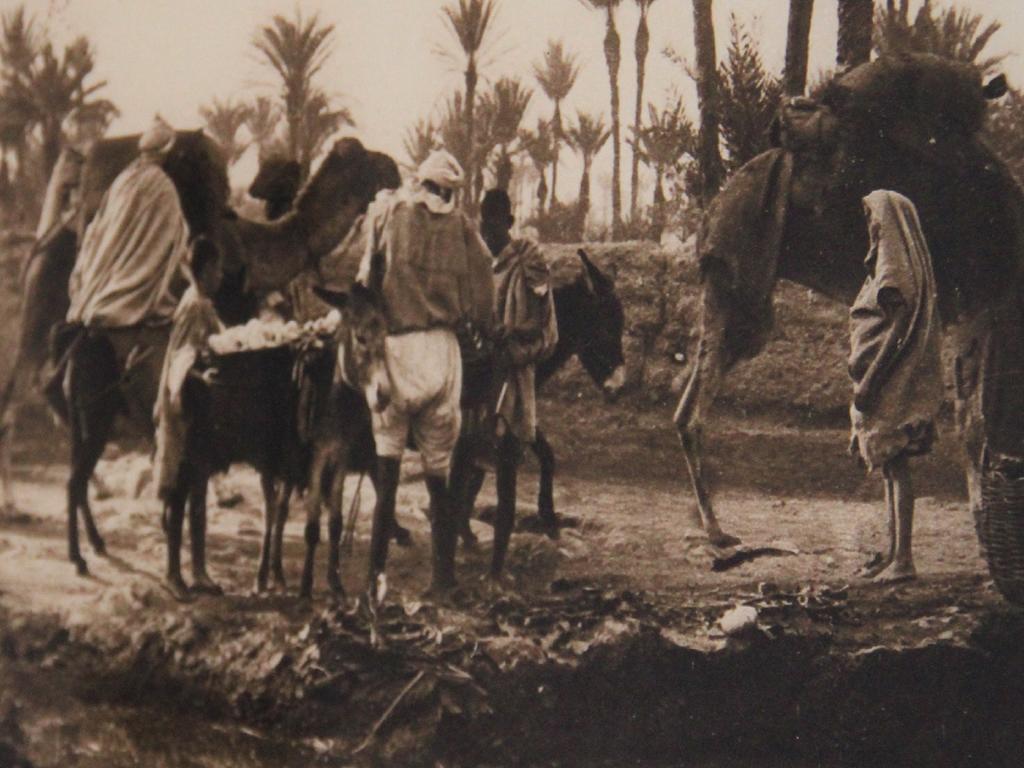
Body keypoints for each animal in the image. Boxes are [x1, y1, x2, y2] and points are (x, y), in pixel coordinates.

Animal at [675, 52, 1019, 548]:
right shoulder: (974, 306)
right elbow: (970, 425)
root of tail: (715, 209)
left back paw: (715, 528)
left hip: (730, 291)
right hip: (739, 290)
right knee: (694, 409)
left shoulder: (978, 310)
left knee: (687, 405)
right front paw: (981, 530)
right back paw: (717, 531)